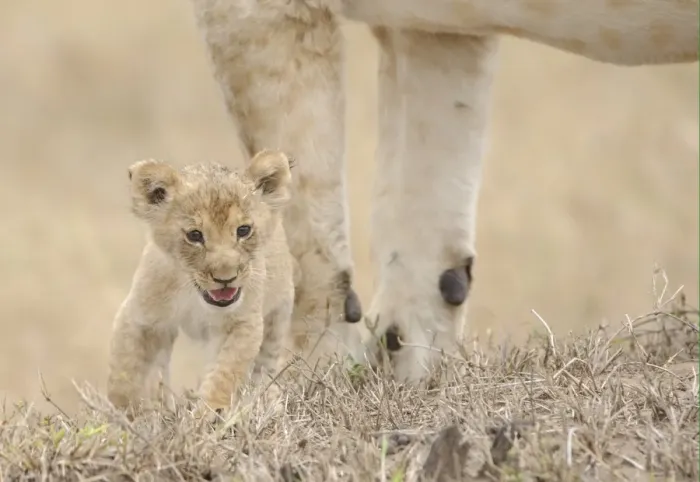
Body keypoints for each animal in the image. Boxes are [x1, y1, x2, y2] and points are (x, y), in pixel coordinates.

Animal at [106, 149, 295, 416]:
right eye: (194, 235)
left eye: (243, 230)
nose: (225, 278)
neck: (194, 295)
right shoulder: (139, 317)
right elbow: (123, 373)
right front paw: (124, 415)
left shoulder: (244, 323)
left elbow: (225, 372)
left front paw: (209, 414)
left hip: (278, 317)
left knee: (263, 368)